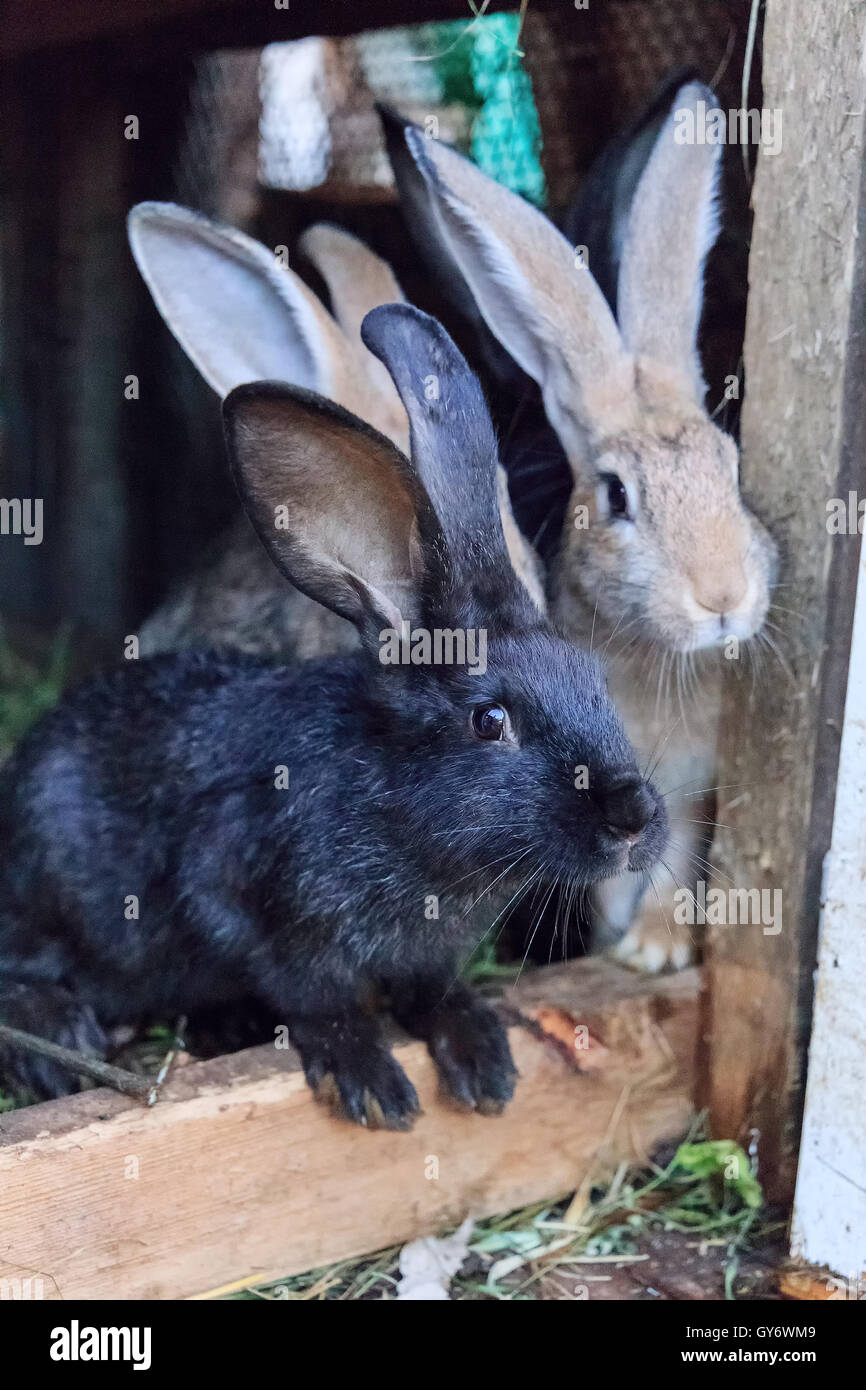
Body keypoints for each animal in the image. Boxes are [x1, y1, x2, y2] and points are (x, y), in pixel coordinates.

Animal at [0, 307, 670, 1128]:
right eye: (489, 721)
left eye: (596, 679)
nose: (634, 818)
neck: (398, 808)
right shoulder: (243, 895)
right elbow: (318, 995)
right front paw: (373, 1086)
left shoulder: (427, 953)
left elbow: (430, 990)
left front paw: (485, 1065)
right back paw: (59, 1040)